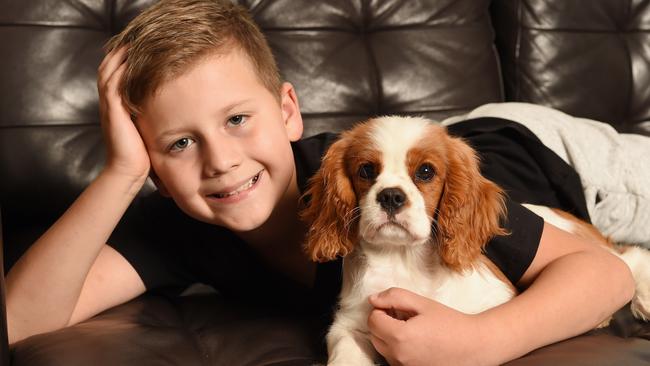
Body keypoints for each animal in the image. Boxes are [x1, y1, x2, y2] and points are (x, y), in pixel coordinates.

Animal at [300, 116, 648, 366]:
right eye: (366, 170)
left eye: (425, 172)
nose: (391, 197)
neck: (403, 258)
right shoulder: (349, 324)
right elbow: (345, 353)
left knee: (625, 257)